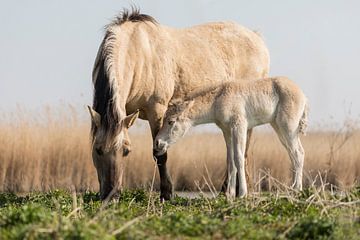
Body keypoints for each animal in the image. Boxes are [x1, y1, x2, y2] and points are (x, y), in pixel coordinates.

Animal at [88, 7, 268, 200]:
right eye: (97, 149)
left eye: (126, 151)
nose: (111, 195)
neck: (137, 52)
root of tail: (258, 39)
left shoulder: (157, 111)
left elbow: (159, 154)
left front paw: (167, 193)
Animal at [153, 76, 308, 199]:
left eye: (171, 121)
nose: (157, 143)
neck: (218, 100)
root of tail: (303, 95)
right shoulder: (227, 131)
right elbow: (230, 160)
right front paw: (230, 194)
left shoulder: (239, 126)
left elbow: (239, 158)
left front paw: (242, 193)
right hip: (278, 127)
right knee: (293, 154)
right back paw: (293, 188)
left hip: (288, 126)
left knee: (298, 153)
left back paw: (297, 190)